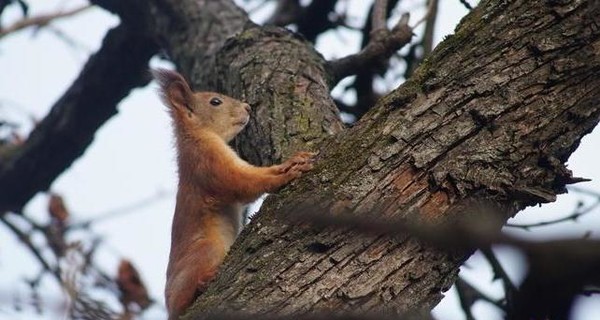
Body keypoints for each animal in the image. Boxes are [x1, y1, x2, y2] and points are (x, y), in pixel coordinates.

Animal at [152, 69, 316, 318]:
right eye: (215, 102)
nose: (248, 107)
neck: (196, 136)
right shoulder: (209, 163)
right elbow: (243, 182)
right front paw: (285, 176)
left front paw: (290, 163)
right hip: (206, 249)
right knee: (184, 298)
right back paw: (203, 282)